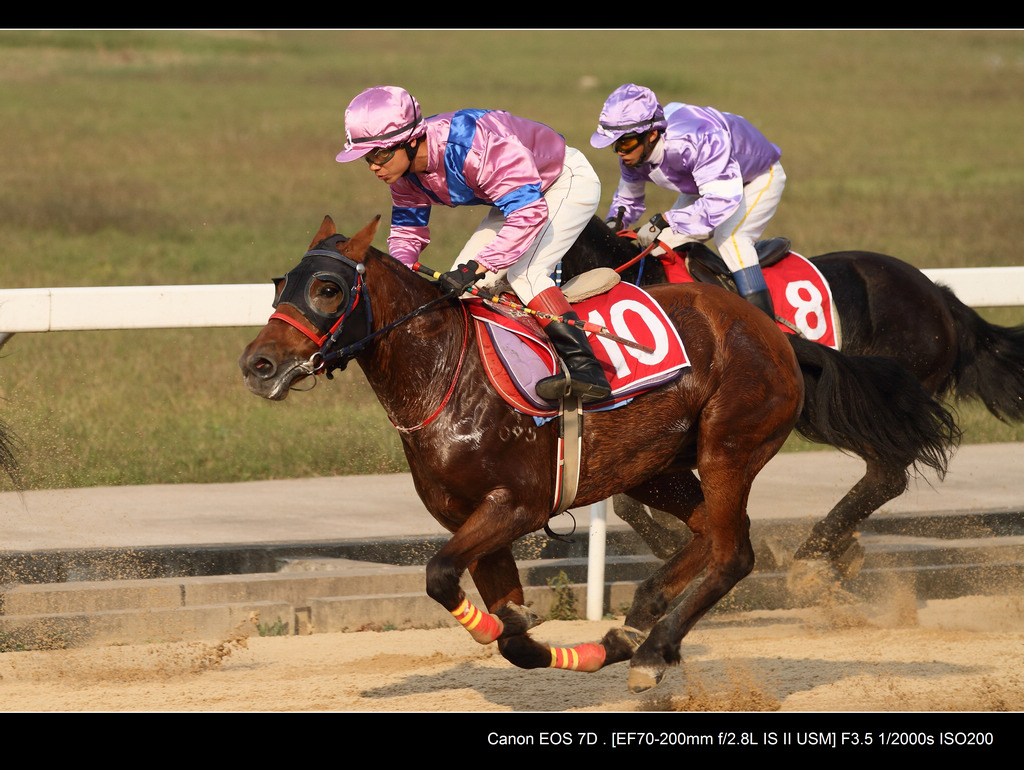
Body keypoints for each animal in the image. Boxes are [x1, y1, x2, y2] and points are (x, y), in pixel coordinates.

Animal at [241, 215, 958, 692]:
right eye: (280, 282)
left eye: (329, 288)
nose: (258, 364)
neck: (448, 373)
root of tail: (775, 333)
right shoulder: (476, 522)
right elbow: (515, 640)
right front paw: (569, 641)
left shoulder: (516, 505)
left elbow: (441, 575)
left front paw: (500, 628)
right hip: (658, 468)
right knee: (705, 534)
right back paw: (635, 626)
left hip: (729, 445)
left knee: (734, 552)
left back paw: (654, 648)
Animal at [561, 217, 1024, 577]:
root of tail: (940, 297)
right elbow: (631, 502)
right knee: (885, 474)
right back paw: (837, 547)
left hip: (842, 405)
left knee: (888, 475)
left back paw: (815, 550)